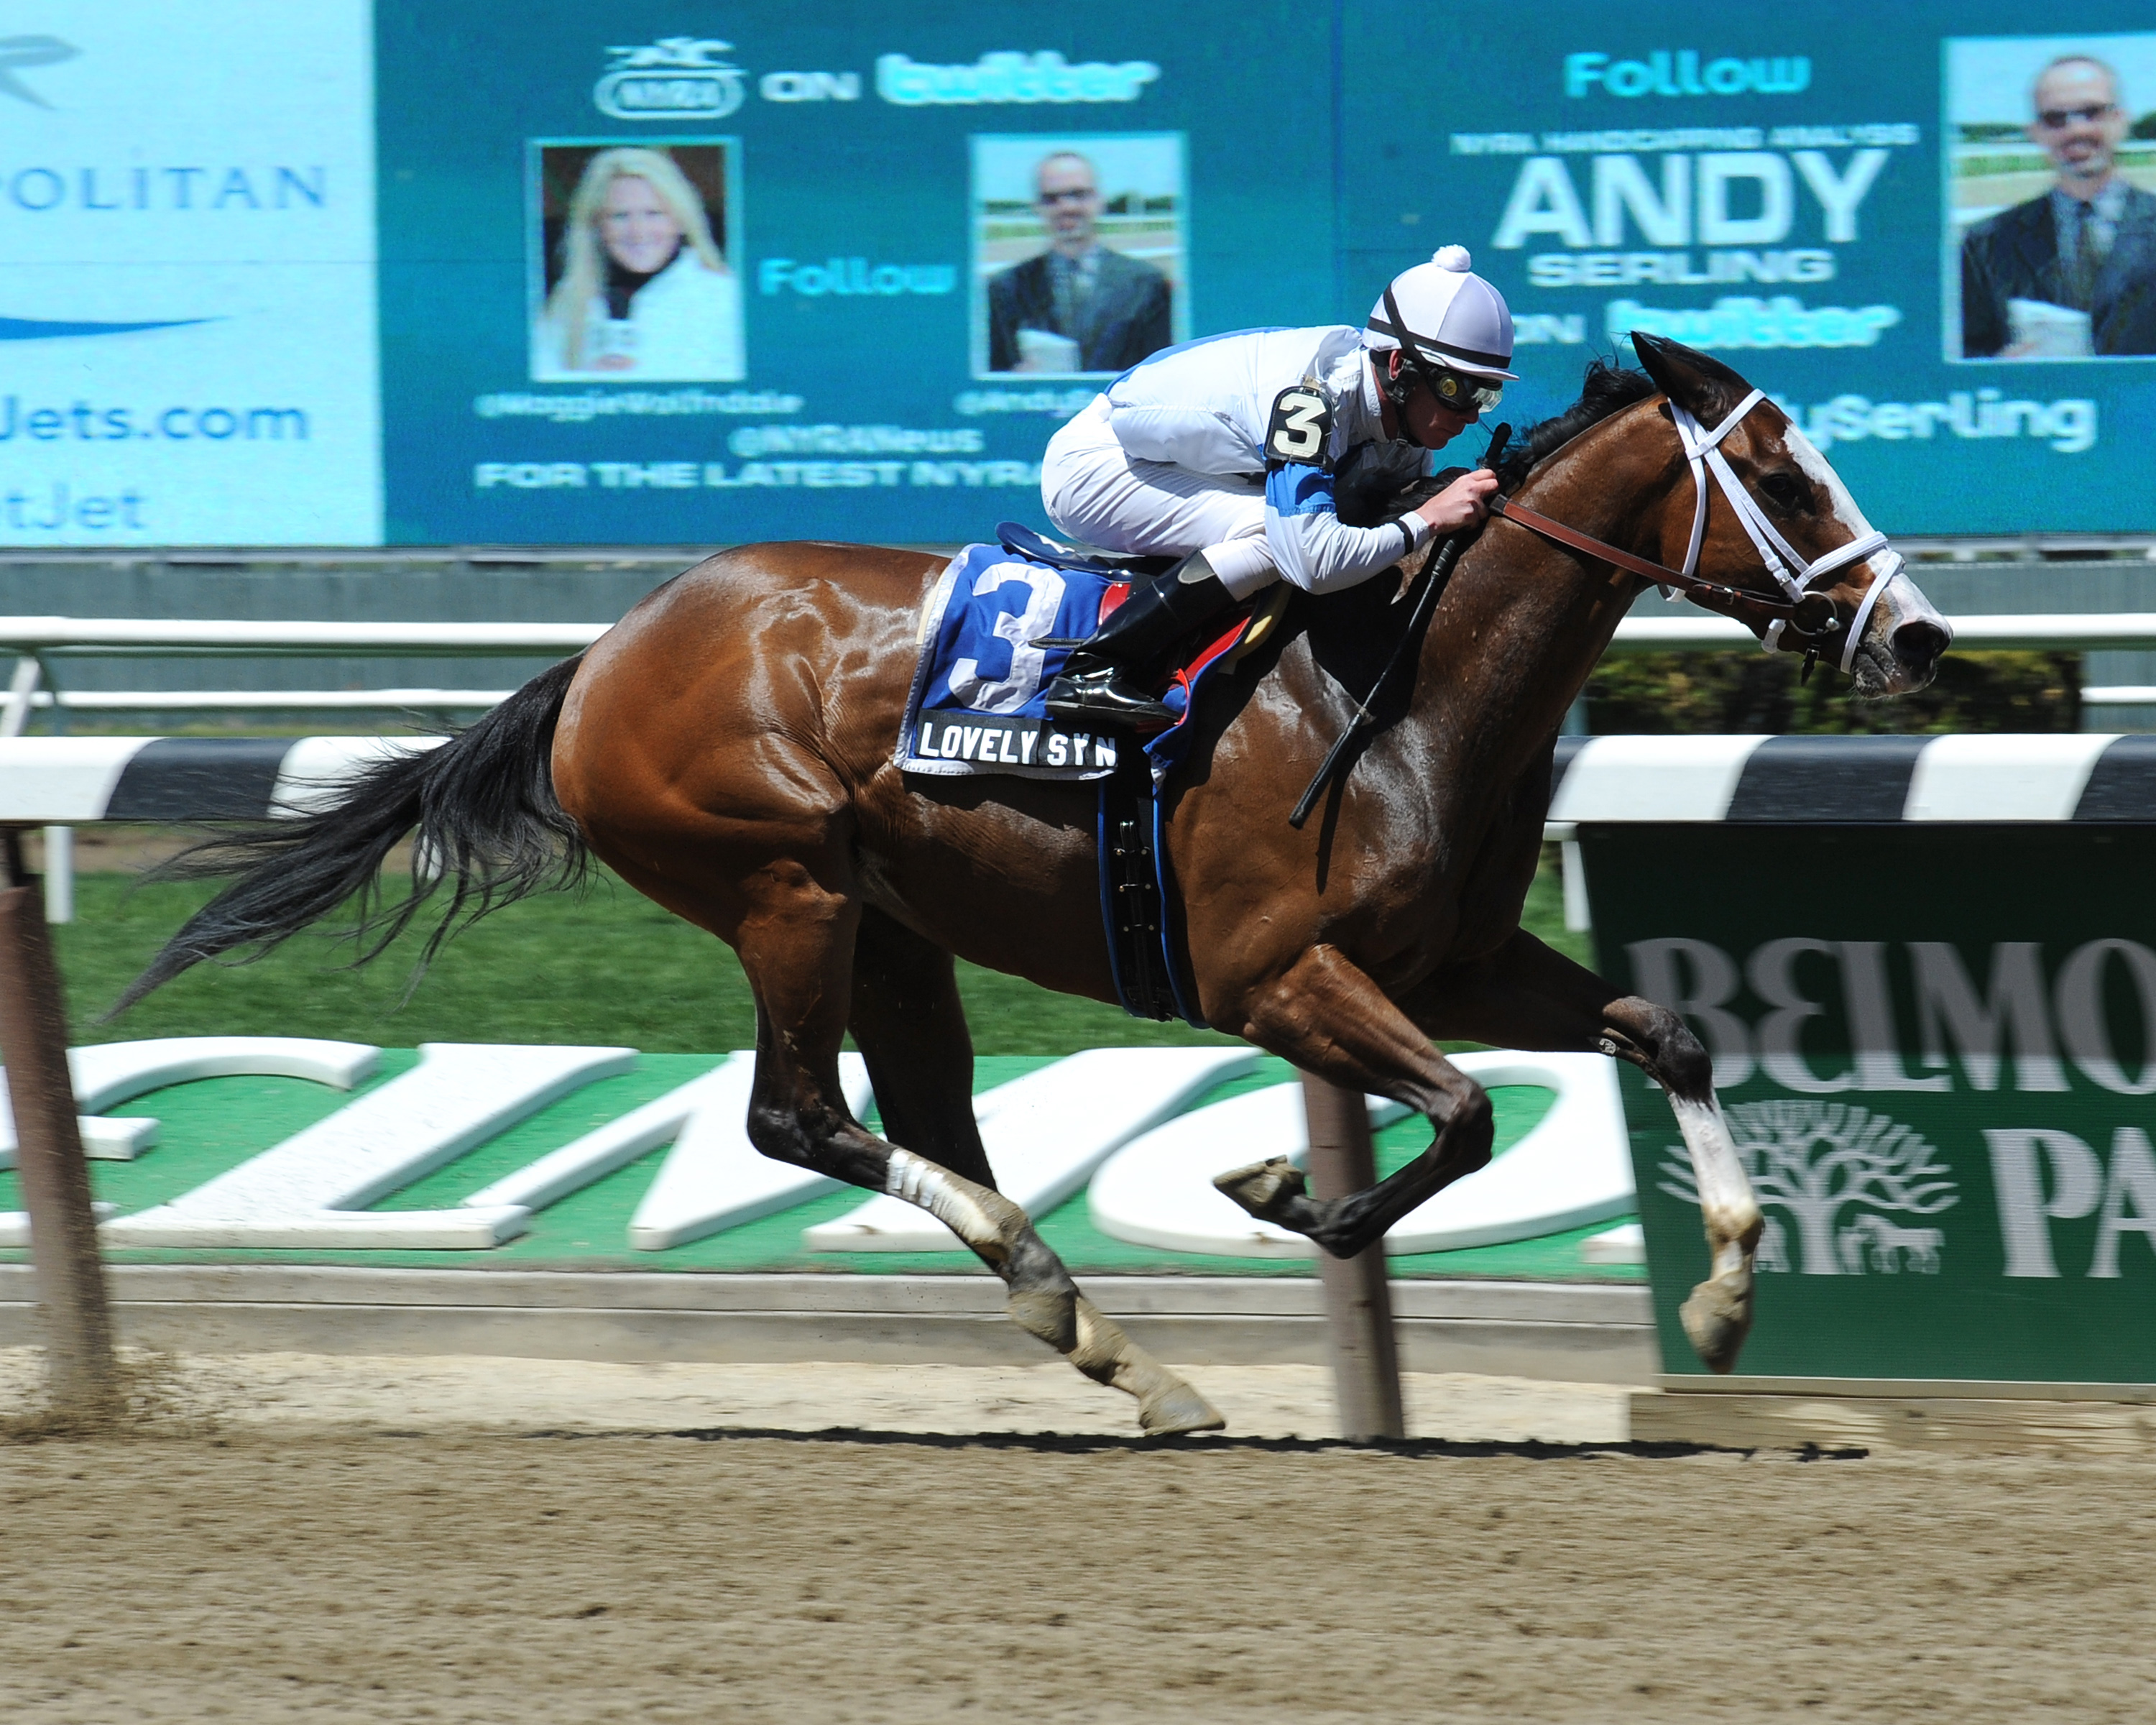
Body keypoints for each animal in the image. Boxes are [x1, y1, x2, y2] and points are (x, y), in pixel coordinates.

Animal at [120, 334, 1951, 1435]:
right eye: (1779, 475)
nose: (1921, 636)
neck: (1399, 682)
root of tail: (604, 653)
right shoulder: (1279, 975)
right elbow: (1464, 1119)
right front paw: (1278, 1189)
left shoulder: (1455, 958)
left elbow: (1664, 1035)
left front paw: (1724, 1293)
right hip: (784, 885)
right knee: (797, 1115)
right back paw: (1071, 1298)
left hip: (892, 926)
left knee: (921, 1116)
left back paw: (1112, 1342)